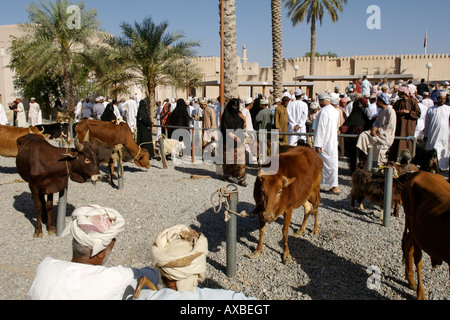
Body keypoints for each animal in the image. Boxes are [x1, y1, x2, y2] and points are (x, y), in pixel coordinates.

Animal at [400, 172, 450, 300]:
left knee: (408, 242)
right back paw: (420, 293)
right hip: (412, 224)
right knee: (418, 259)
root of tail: (417, 173)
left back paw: (411, 281)